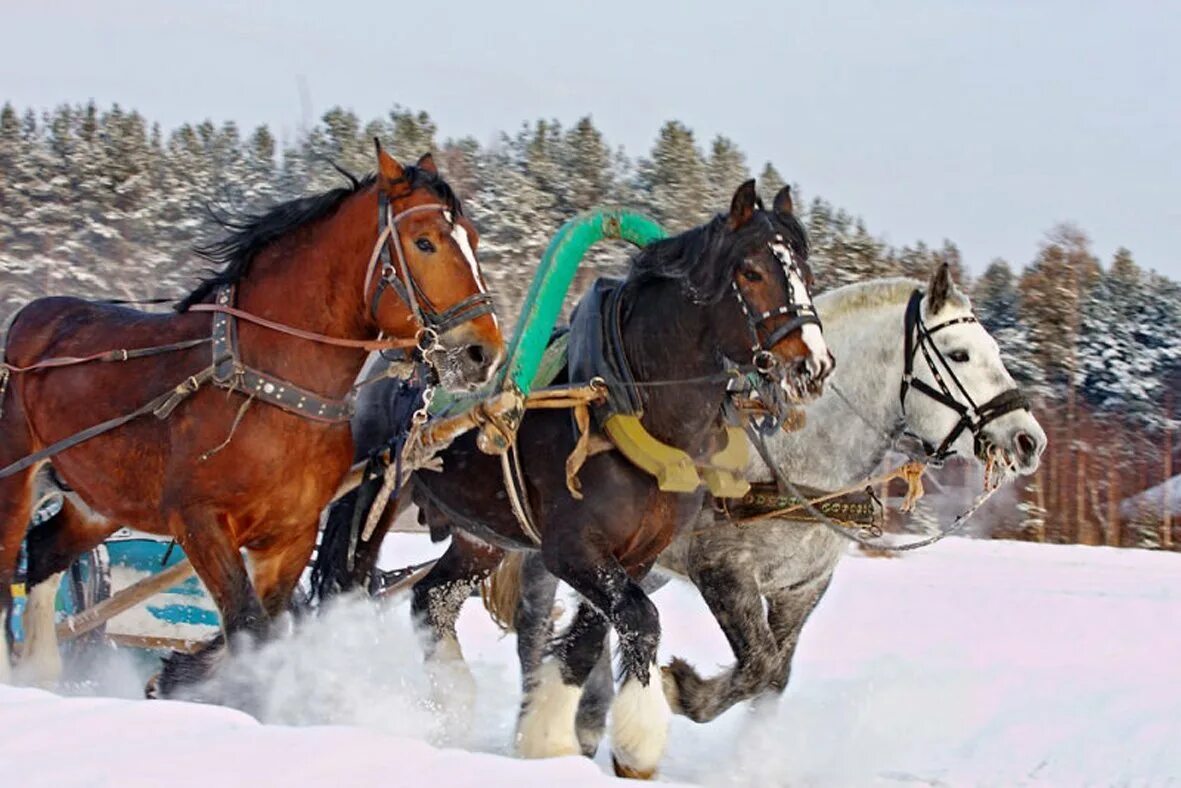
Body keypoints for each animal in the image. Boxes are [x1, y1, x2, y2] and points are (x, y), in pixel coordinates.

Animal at [0, 144, 503, 694]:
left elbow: (268, 632)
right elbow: (247, 630)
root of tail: (29, 317)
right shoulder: (200, 521)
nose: (482, 352)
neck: (267, 388)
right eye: (424, 242)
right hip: (17, 475)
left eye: (474, 239)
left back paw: (40, 672)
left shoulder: (289, 536)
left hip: (94, 499)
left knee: (44, 551)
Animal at [314, 180, 831, 775]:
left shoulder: (635, 555)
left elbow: (590, 639)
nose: (813, 364)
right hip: (374, 497)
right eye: (750, 272)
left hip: (481, 534)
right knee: (343, 583)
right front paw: (635, 740)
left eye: (806, 271)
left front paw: (548, 738)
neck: (627, 403)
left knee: (431, 599)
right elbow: (641, 617)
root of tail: (388, 363)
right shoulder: (571, 549)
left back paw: (452, 701)